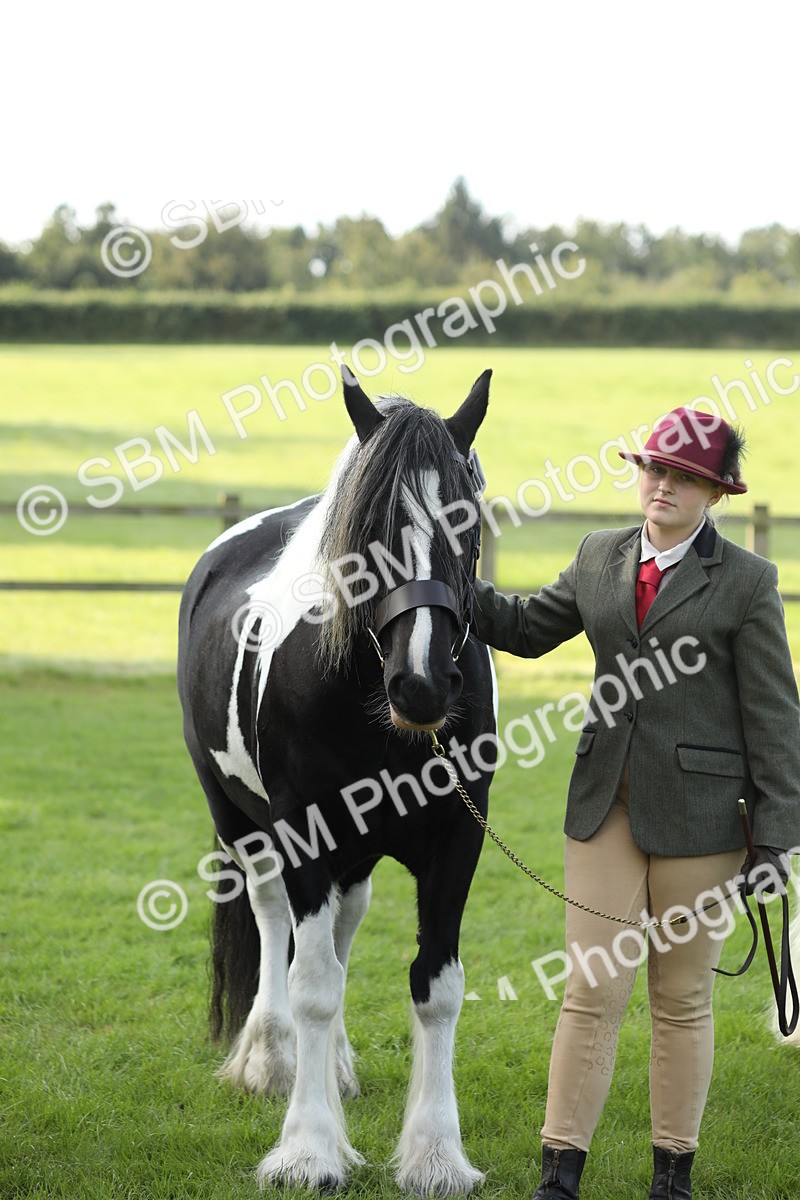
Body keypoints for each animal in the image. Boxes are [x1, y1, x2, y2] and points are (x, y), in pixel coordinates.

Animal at [177, 365, 497, 1193]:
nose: (422, 685)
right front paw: (309, 1149)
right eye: (369, 531)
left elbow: (436, 987)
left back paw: (338, 1069)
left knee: (344, 931)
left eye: (466, 521)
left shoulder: (458, 840)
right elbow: (312, 985)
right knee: (273, 921)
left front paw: (436, 1154)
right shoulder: (305, 838)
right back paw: (272, 1059)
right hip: (242, 823)